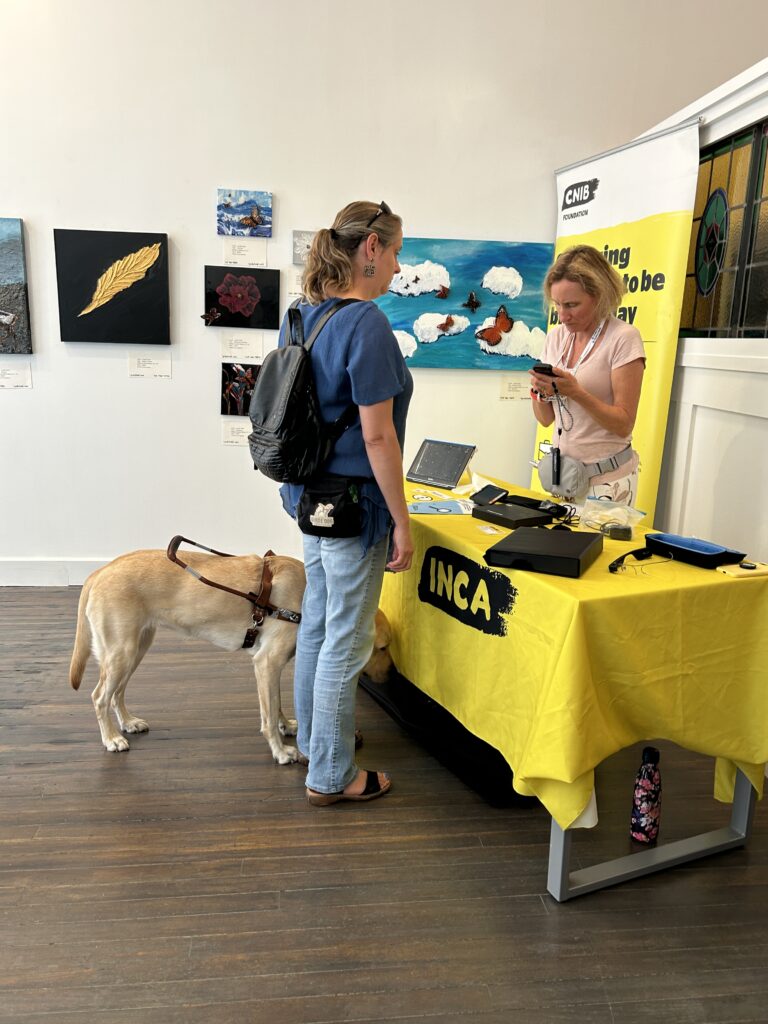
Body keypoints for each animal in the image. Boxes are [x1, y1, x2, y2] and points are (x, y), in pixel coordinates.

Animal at [68, 544, 393, 761]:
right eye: (383, 648)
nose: (391, 676)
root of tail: (100, 571)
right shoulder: (267, 663)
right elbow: (268, 716)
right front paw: (280, 751)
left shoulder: (269, 668)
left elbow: (276, 704)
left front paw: (286, 724)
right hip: (122, 652)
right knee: (99, 696)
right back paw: (111, 738)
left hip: (135, 649)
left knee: (117, 693)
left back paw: (127, 723)